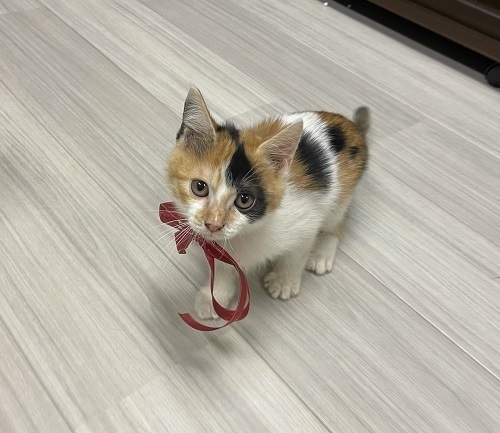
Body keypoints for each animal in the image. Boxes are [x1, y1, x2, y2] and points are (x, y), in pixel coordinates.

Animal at [166, 88, 369, 319]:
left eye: (244, 200)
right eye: (199, 187)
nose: (213, 224)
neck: (248, 232)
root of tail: (352, 126)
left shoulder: (306, 221)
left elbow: (296, 254)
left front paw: (284, 282)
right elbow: (223, 266)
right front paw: (214, 297)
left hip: (341, 196)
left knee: (339, 220)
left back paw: (322, 254)